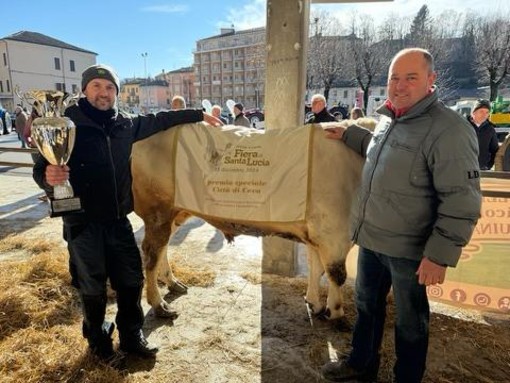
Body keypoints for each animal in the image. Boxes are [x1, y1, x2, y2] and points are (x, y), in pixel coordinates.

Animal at [129, 120, 372, 320]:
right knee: (151, 253)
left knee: (162, 248)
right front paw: (336, 312)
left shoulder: (317, 235)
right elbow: (336, 274)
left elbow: (316, 268)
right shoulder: (335, 234)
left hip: (174, 212)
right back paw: (159, 304)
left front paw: (315, 304)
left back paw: (173, 283)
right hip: (157, 210)